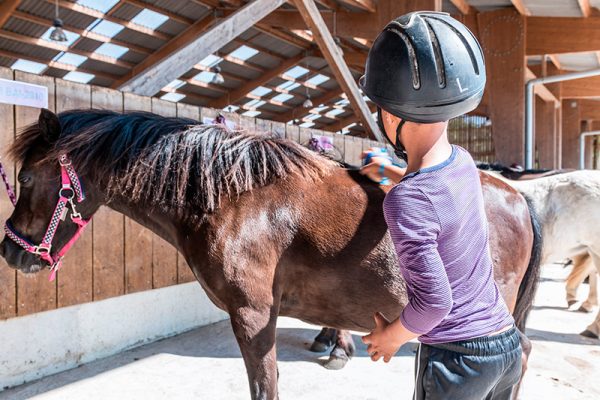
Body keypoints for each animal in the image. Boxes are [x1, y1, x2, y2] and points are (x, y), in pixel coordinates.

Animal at [1, 108, 544, 398]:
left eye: (25, 178)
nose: (11, 252)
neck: (235, 201)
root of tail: (518, 196)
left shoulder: (254, 315)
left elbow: (265, 385)